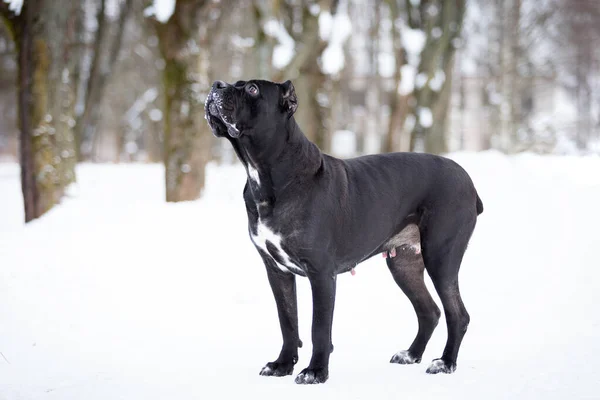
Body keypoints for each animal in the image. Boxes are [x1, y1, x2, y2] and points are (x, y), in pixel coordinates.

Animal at [205, 79, 482, 384]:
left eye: (252, 89)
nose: (217, 84)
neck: (266, 173)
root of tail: (468, 181)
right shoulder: (277, 271)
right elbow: (287, 321)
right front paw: (282, 365)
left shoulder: (321, 273)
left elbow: (318, 328)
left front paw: (315, 372)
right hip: (405, 264)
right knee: (429, 310)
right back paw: (411, 355)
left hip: (440, 257)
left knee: (457, 314)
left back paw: (445, 362)